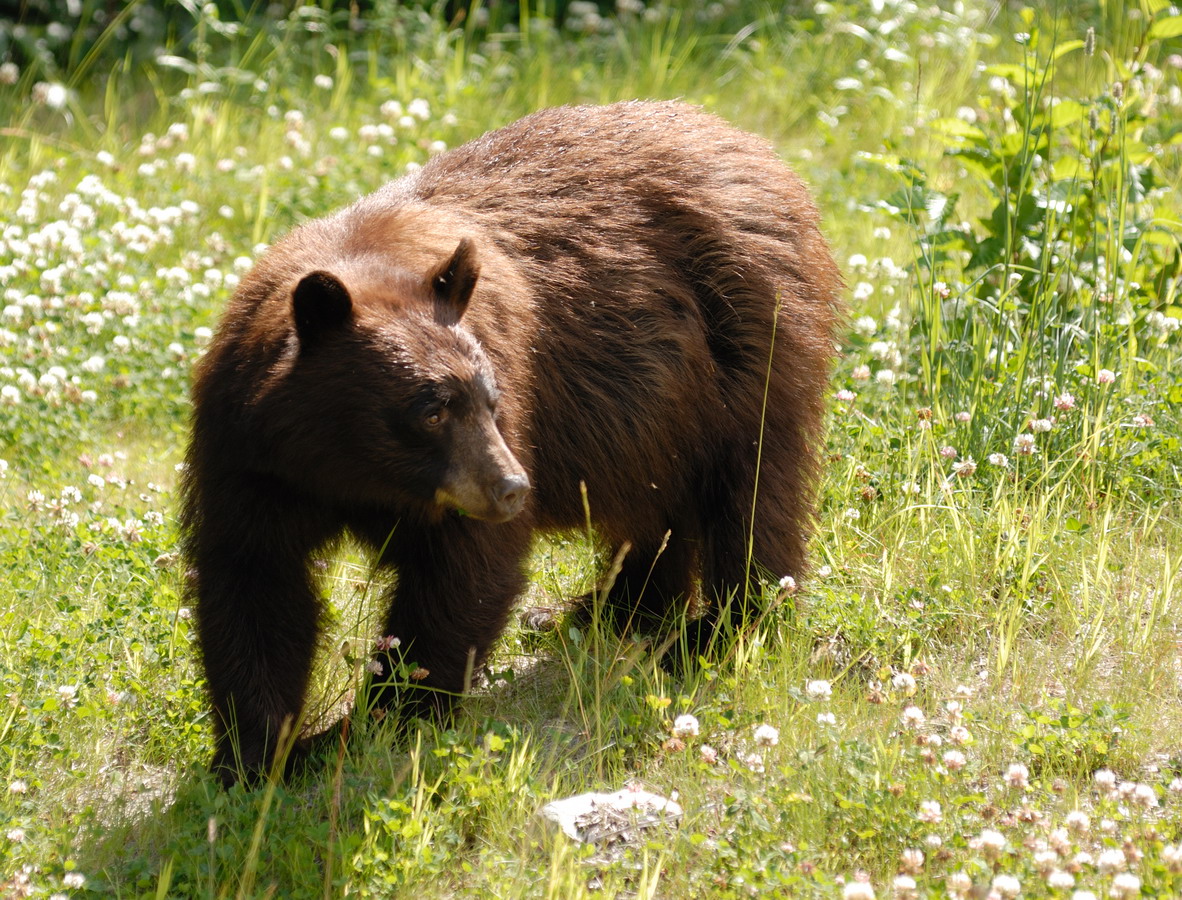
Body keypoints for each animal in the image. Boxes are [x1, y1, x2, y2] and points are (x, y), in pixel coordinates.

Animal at [179, 101, 846, 785]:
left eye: (489, 399)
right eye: (431, 409)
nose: (512, 488)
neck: (354, 472)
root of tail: (748, 143)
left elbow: (463, 575)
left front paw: (388, 716)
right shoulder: (251, 456)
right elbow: (255, 579)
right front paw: (256, 755)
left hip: (746, 343)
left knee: (751, 490)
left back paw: (721, 627)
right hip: (659, 411)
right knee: (659, 507)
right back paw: (615, 608)